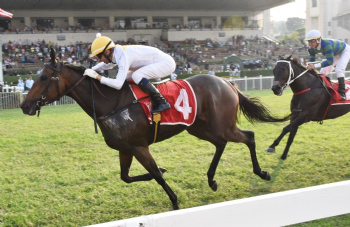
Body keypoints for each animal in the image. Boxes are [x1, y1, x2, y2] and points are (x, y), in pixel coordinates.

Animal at [20, 48, 288, 210]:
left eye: (43, 78)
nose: (24, 105)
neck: (111, 103)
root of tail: (226, 81)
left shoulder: (139, 146)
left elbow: (156, 176)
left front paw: (175, 201)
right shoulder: (125, 148)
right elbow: (126, 177)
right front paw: (161, 171)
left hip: (222, 125)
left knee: (248, 137)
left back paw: (261, 173)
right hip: (198, 128)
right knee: (221, 144)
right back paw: (212, 180)